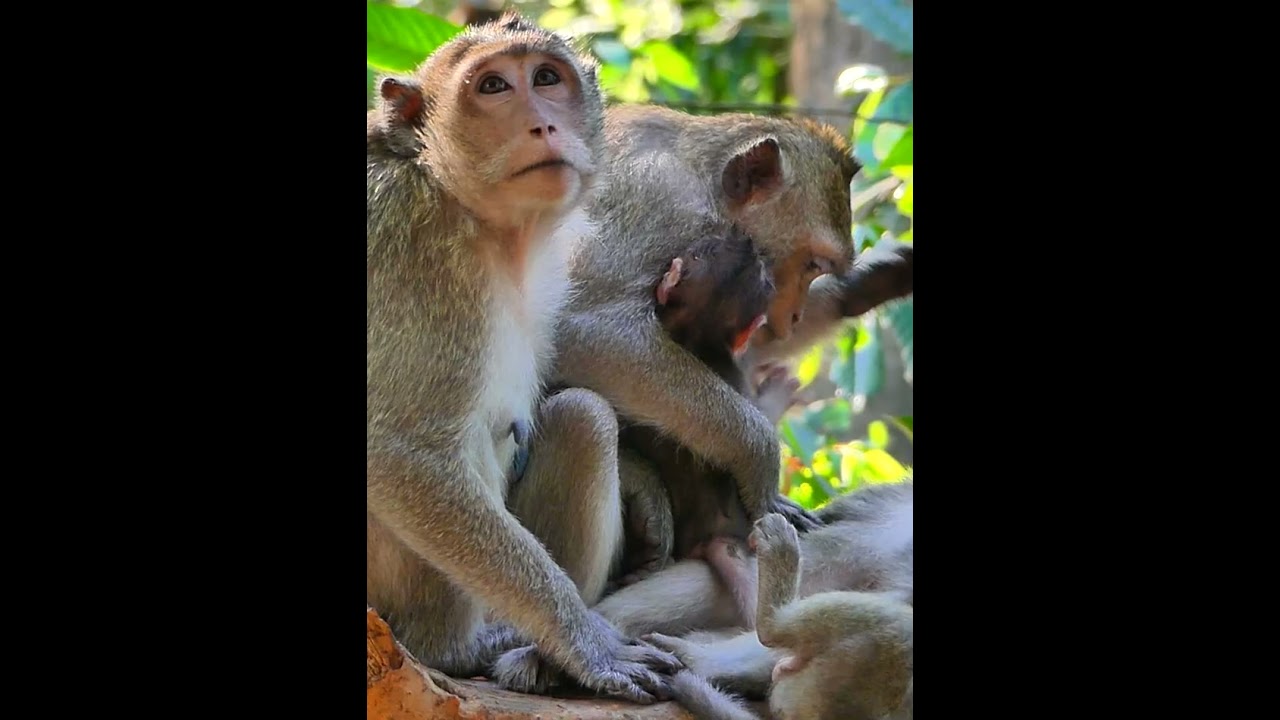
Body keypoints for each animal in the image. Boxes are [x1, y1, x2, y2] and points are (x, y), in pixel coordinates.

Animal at [366, 13, 680, 705]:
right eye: (492, 87)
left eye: (546, 78)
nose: (544, 124)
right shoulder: (409, 242)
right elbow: (398, 452)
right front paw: (587, 646)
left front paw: (644, 483)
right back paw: (461, 647)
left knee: (584, 418)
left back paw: (536, 657)